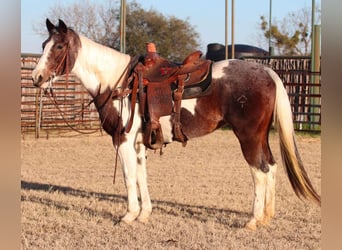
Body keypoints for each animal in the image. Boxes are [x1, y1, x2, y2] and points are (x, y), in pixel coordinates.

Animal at [30, 19, 320, 230]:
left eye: (58, 47)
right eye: (43, 44)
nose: (36, 77)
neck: (118, 84)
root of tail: (267, 70)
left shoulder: (122, 140)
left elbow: (128, 177)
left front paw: (128, 216)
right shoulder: (139, 143)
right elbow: (141, 176)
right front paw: (144, 214)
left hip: (248, 136)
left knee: (260, 171)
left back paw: (252, 221)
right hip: (261, 136)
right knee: (271, 167)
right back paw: (267, 216)